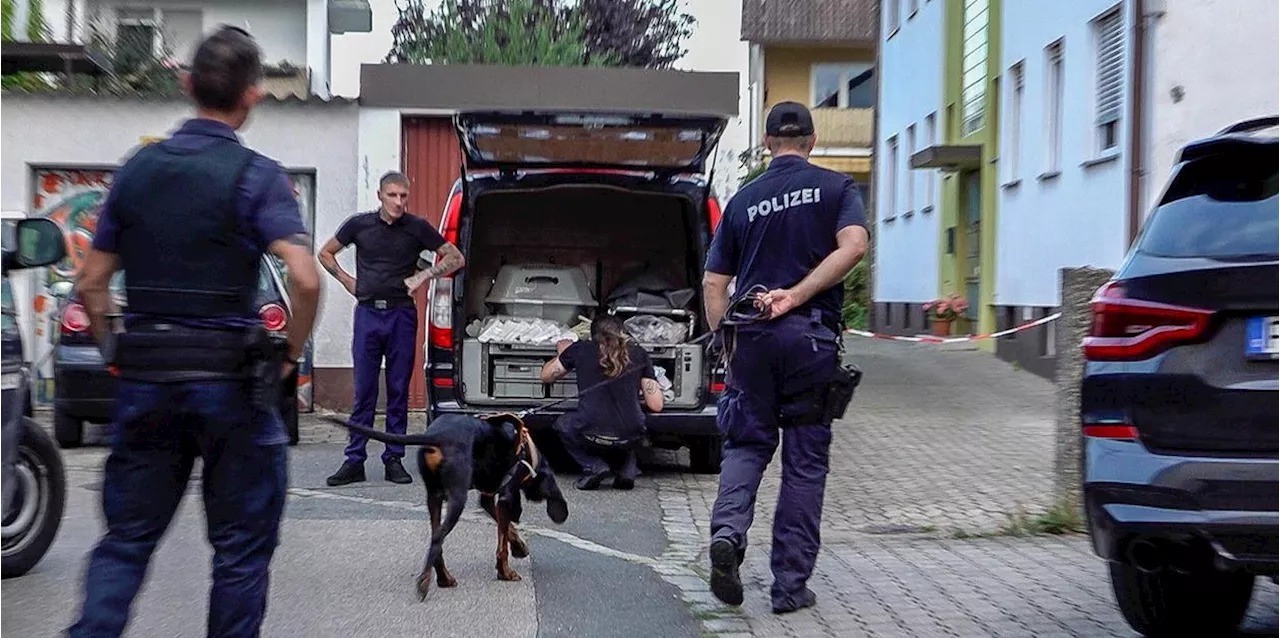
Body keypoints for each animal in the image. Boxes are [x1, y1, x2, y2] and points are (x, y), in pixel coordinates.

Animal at [325, 412, 570, 597]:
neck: (531, 455)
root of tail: (437, 436)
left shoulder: (488, 497)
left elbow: (507, 528)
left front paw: (519, 547)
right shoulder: (505, 496)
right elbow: (502, 544)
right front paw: (505, 572)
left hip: (434, 497)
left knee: (437, 538)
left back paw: (443, 578)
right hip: (457, 498)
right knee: (437, 539)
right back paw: (425, 584)